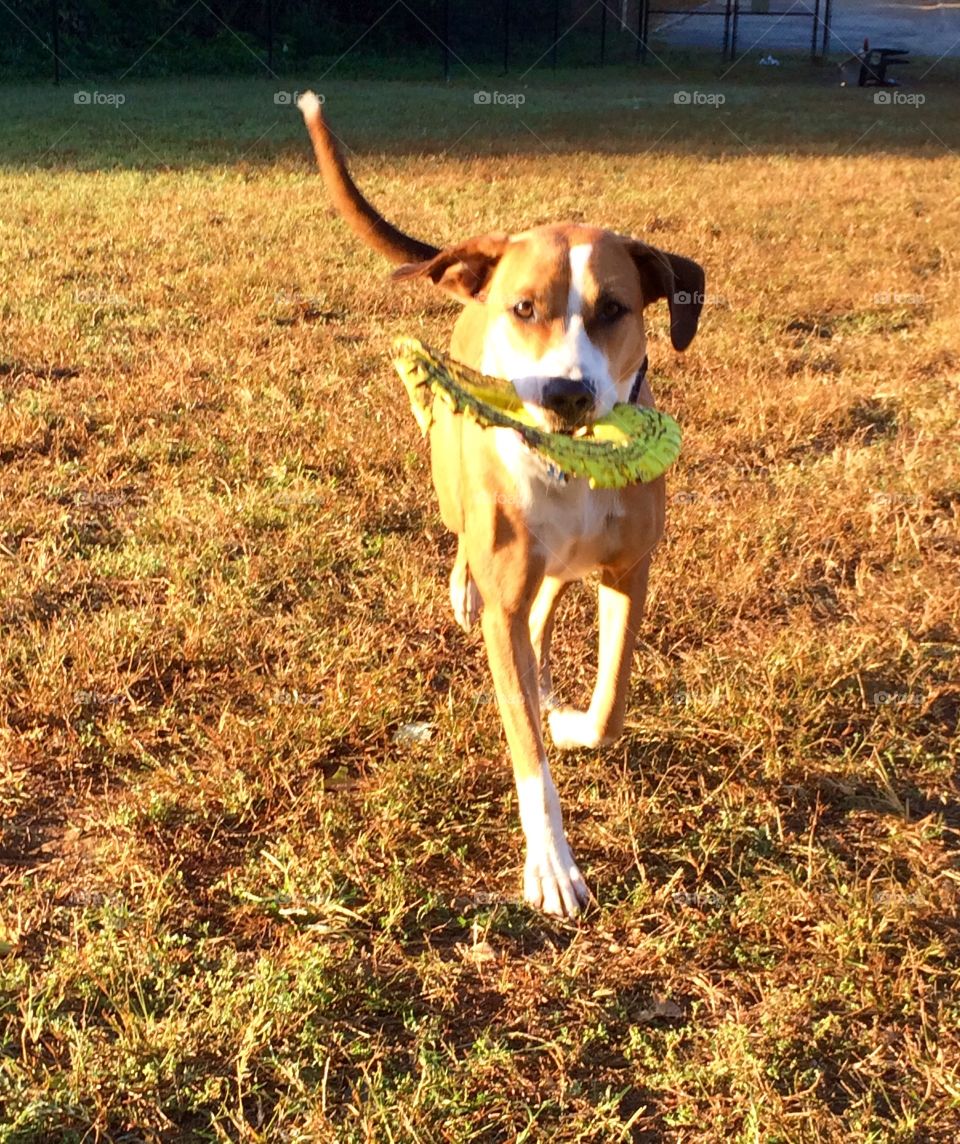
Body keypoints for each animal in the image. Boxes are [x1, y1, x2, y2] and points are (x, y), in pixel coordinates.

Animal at [297, 91, 700, 919]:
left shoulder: (629, 574)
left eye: (614, 309)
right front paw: (550, 863)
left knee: (543, 608)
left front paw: (573, 723)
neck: (569, 467)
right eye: (525, 307)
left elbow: (610, 703)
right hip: (454, 483)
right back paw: (463, 590)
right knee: (469, 552)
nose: (566, 392)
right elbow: (524, 746)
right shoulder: (507, 599)